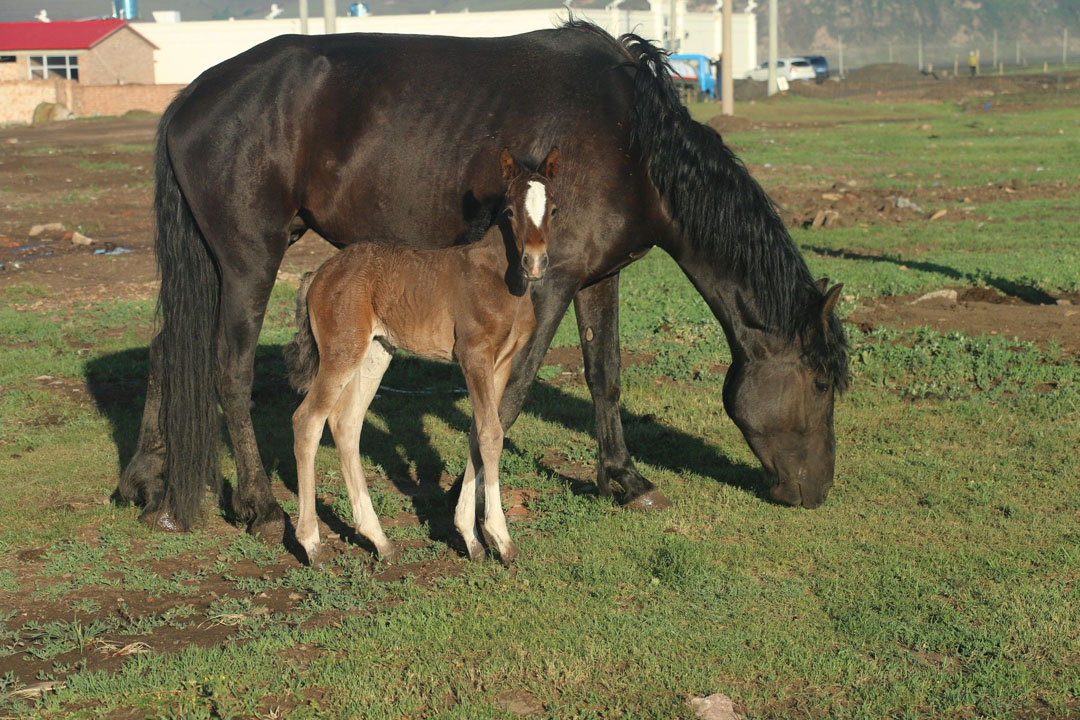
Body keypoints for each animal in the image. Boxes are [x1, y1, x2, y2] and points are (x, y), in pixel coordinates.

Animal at [282, 147, 561, 569]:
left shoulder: (501, 364)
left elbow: (478, 432)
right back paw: (312, 544)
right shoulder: (474, 356)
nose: (535, 262)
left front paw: (470, 538)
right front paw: (501, 539)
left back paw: (379, 539)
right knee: (307, 421)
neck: (502, 279)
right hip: (341, 351)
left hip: (376, 352)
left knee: (345, 424)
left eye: (554, 209)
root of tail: (318, 274)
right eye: (510, 211)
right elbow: (491, 434)